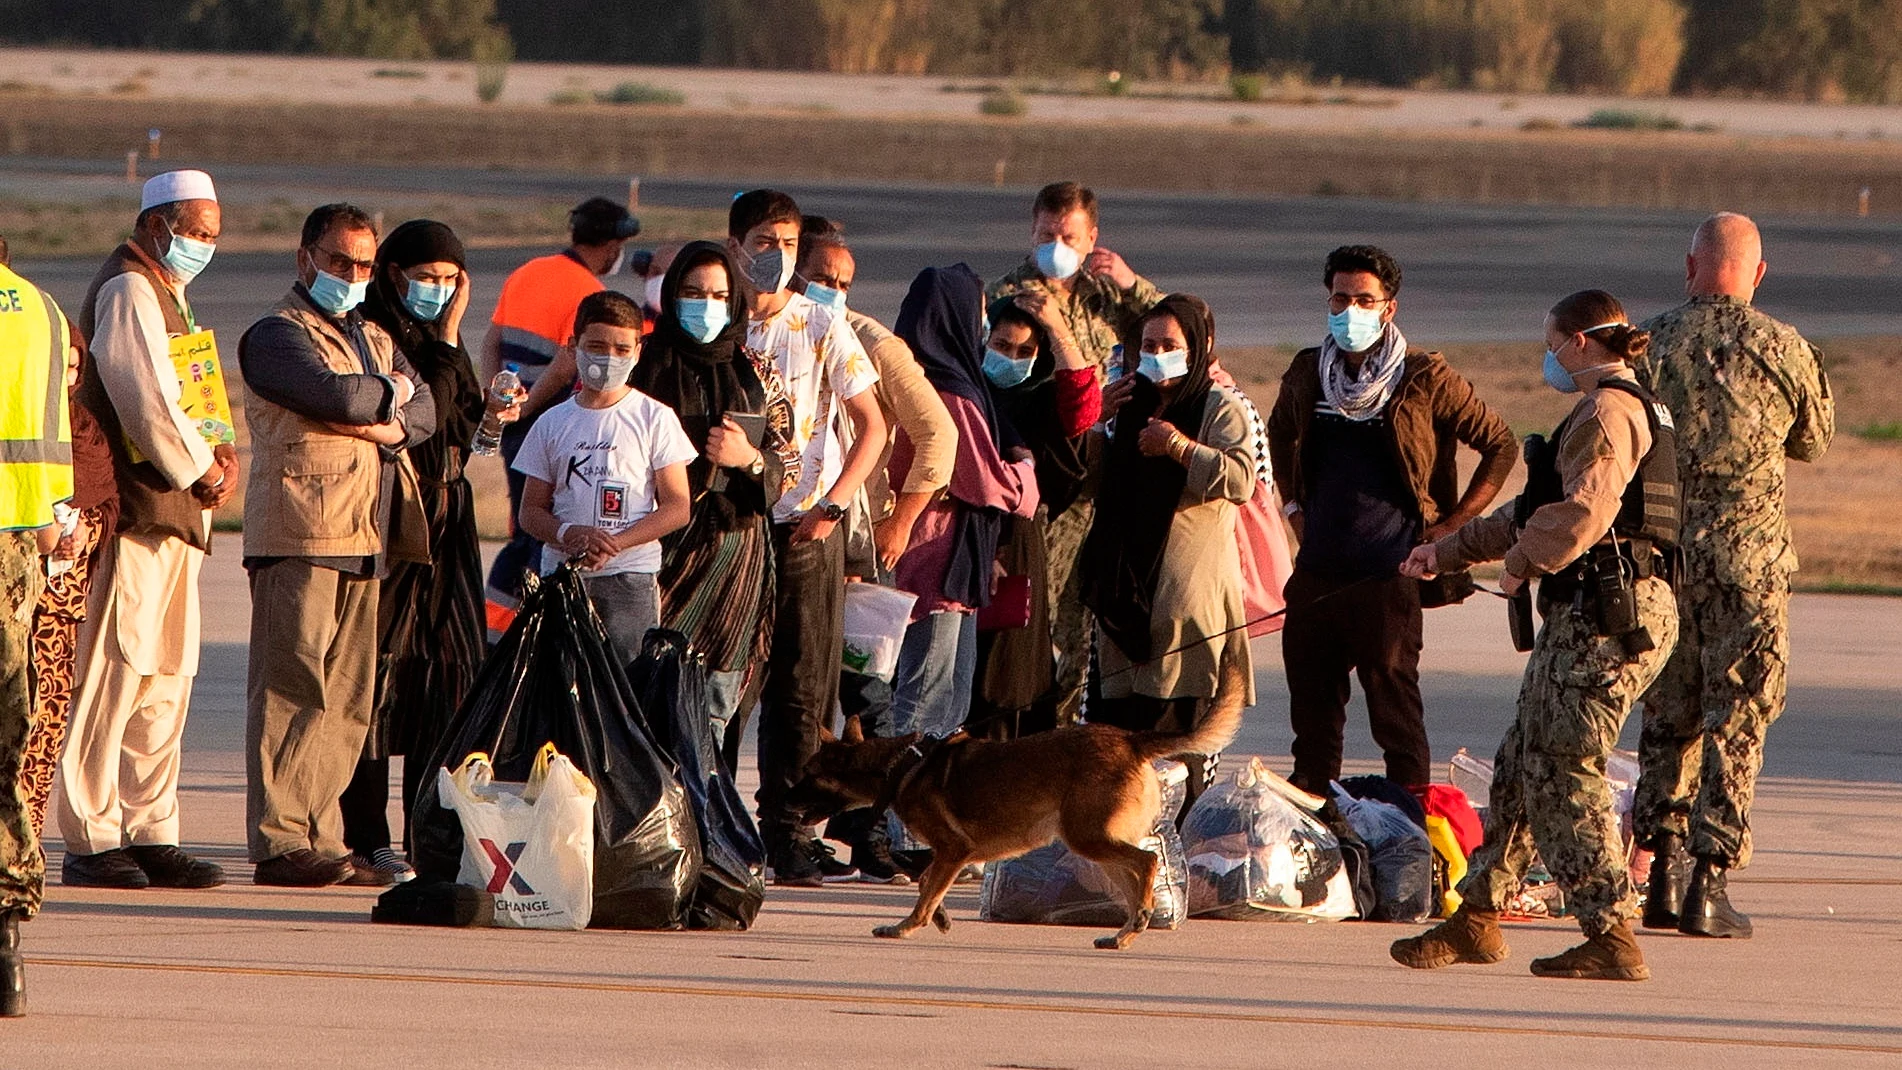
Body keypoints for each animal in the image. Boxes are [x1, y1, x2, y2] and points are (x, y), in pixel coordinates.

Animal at [783, 642, 1247, 950]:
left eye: (810, 774)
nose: (784, 799)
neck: (900, 764)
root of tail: (1130, 740)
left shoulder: (954, 849)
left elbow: (927, 889)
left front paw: (906, 926)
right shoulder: (949, 854)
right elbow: (929, 883)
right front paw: (936, 916)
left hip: (1089, 838)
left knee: (1148, 863)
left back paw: (1138, 924)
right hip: (1096, 845)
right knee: (1135, 879)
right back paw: (1124, 933)